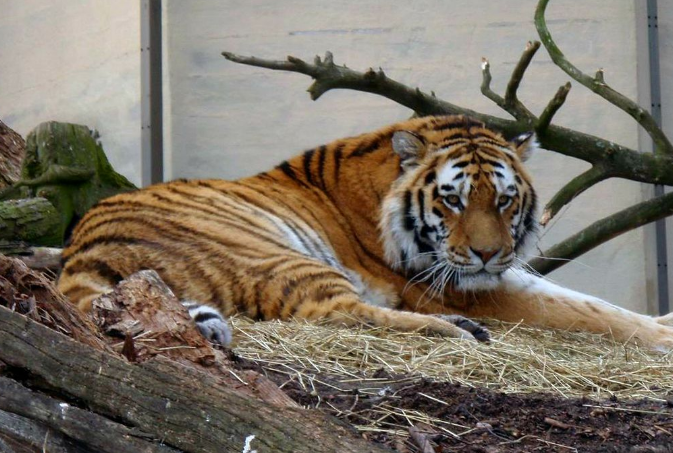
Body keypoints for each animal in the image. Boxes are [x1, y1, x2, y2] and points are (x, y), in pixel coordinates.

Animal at [56, 115, 672, 352]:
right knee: (337, 312)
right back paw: (460, 331)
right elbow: (587, 310)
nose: (487, 253)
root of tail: (78, 257)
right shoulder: (456, 283)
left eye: (503, 199)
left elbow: (589, 302)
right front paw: (663, 335)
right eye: (452, 199)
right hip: (272, 253)